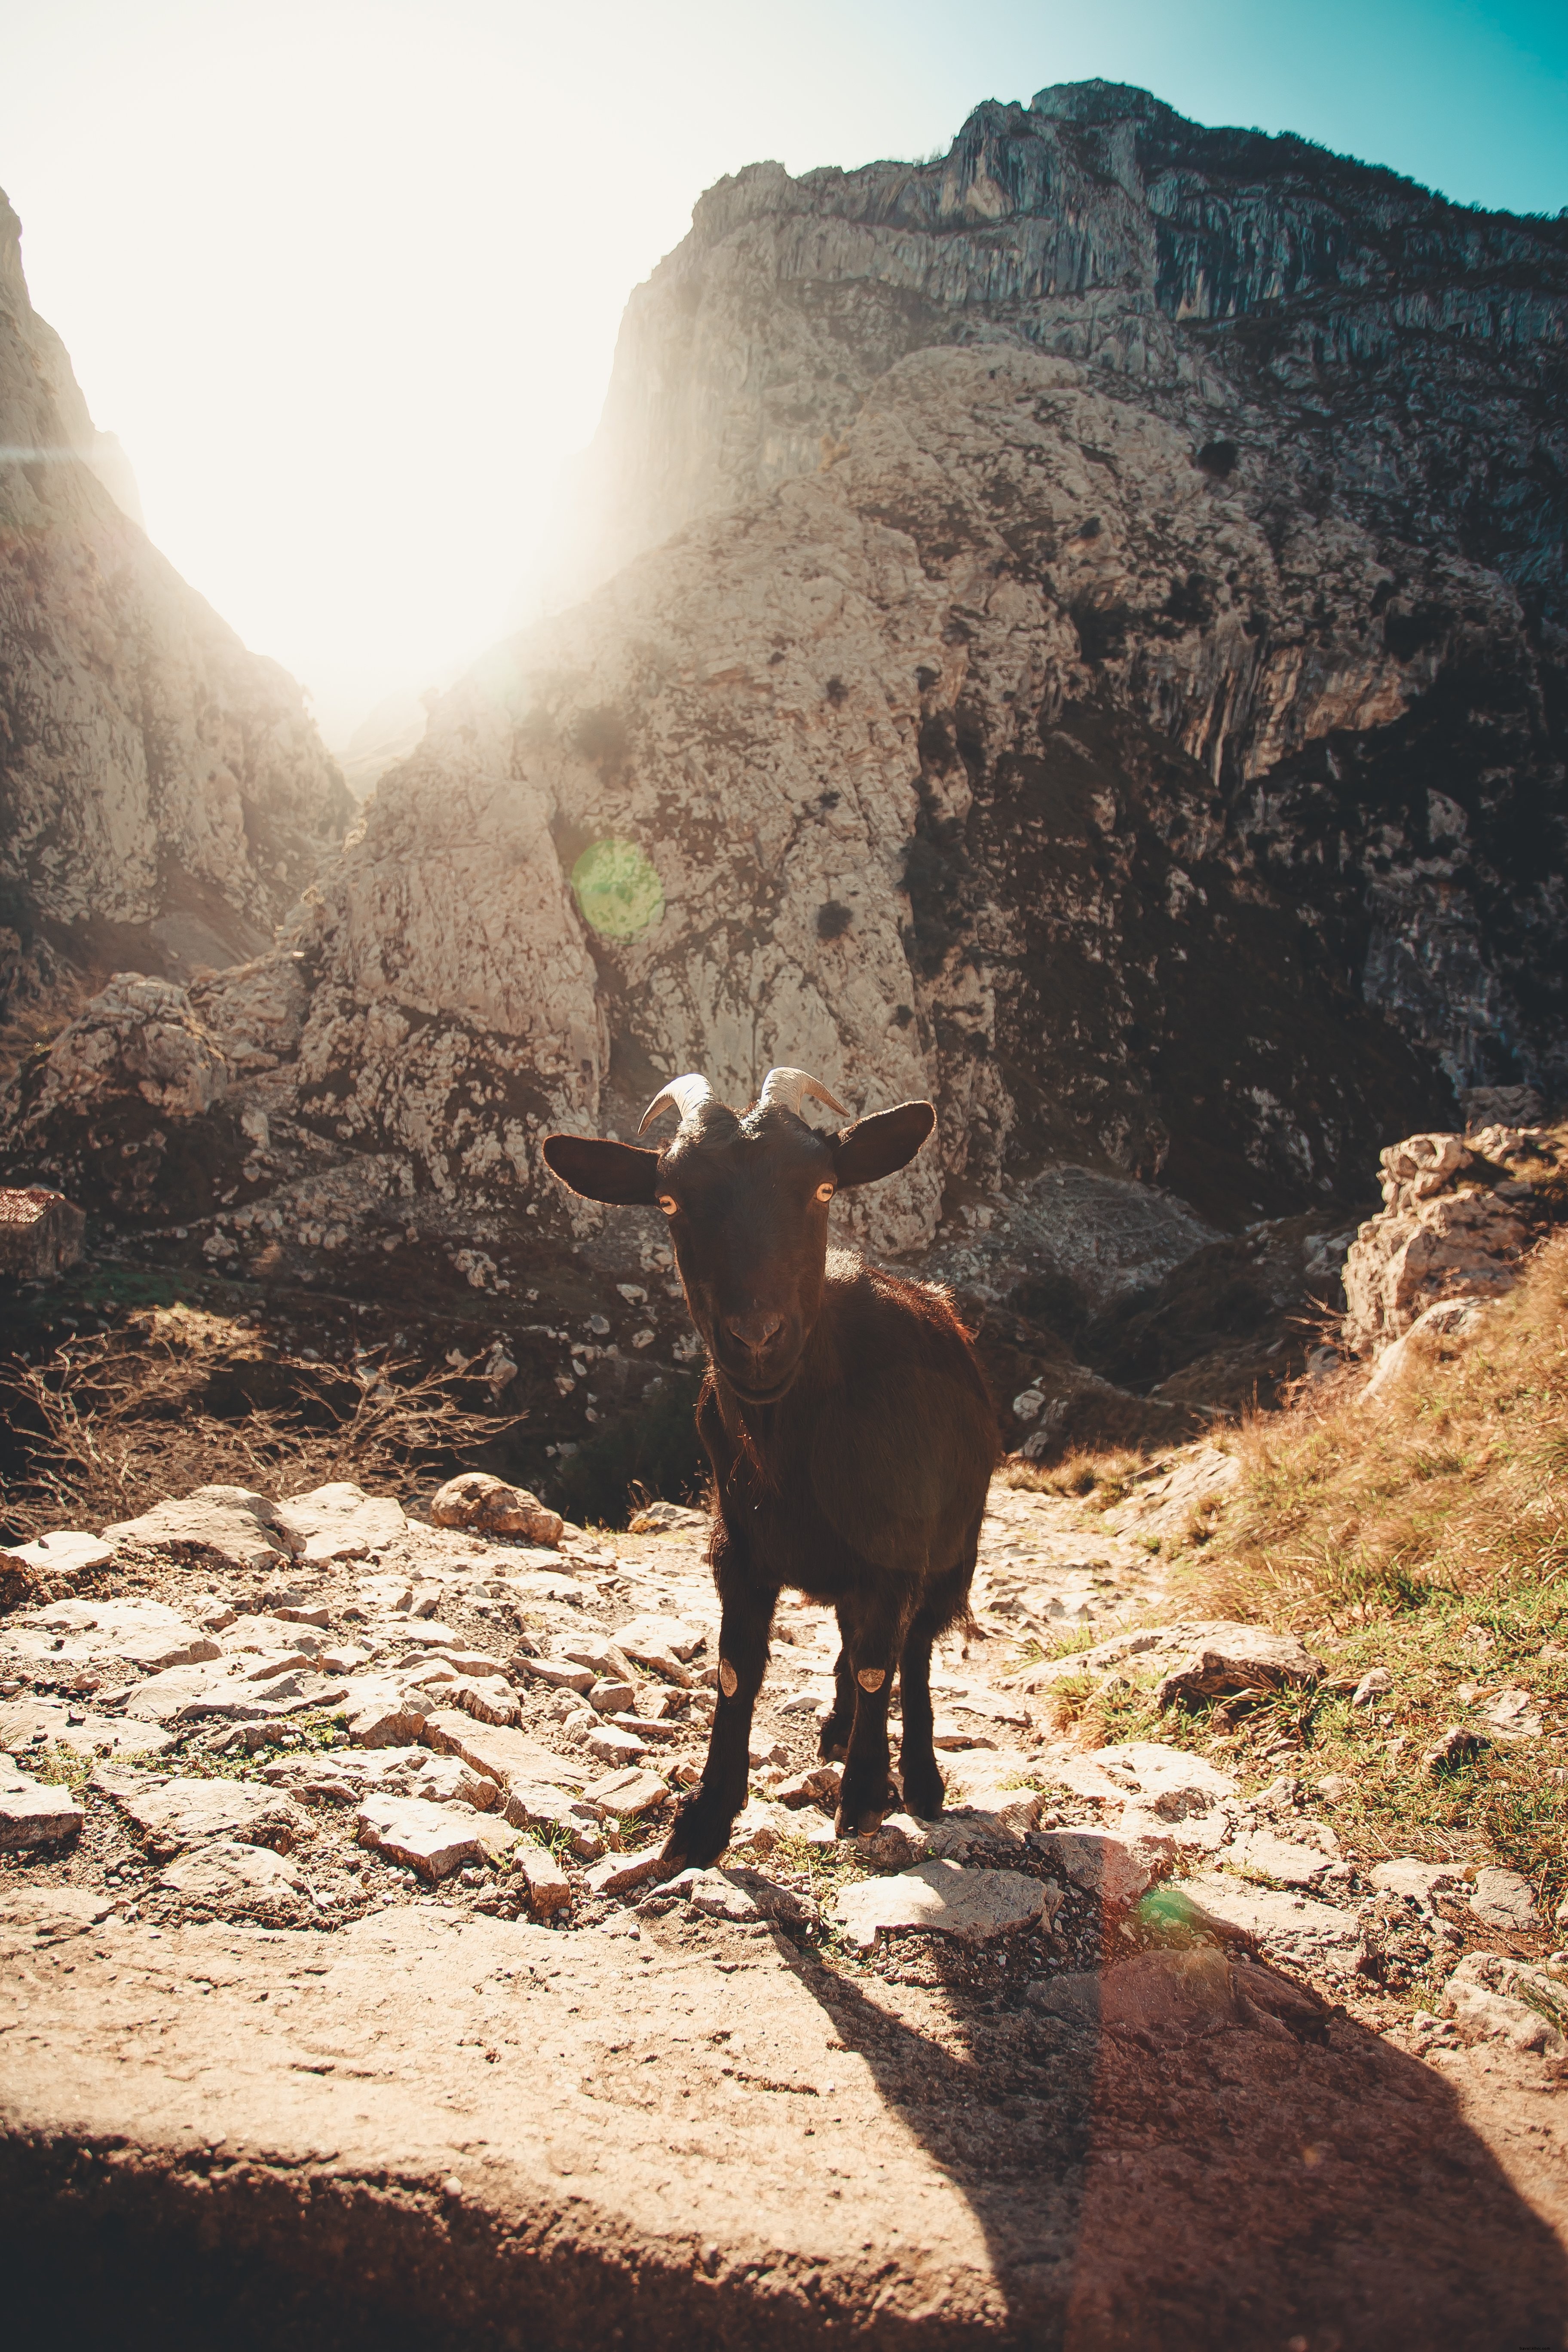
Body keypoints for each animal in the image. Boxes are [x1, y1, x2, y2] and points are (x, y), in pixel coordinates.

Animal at [545, 1072, 1001, 1872]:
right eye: (670, 1199)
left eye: (821, 1187)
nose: (756, 1339)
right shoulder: (739, 1548)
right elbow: (738, 1670)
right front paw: (703, 1820)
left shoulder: (892, 1552)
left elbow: (882, 1663)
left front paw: (864, 1795)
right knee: (858, 1645)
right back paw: (839, 1730)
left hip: (953, 1553)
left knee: (913, 1651)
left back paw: (917, 1779)